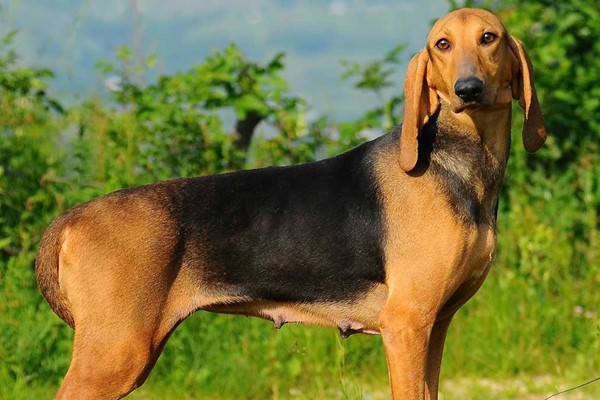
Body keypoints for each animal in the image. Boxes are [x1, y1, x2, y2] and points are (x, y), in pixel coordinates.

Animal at [36, 7, 544, 400]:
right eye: (442, 44)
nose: (467, 89)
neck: (462, 161)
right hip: (115, 353)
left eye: (489, 38)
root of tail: (71, 219)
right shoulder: (405, 325)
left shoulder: (435, 326)